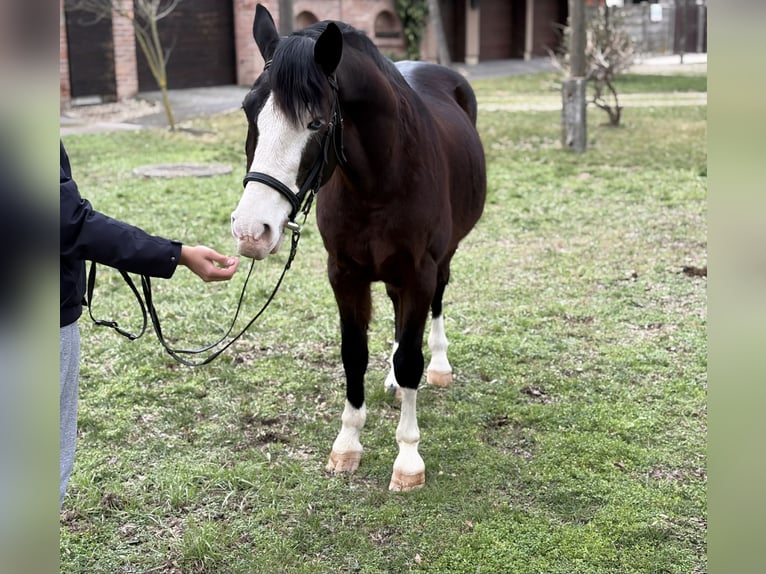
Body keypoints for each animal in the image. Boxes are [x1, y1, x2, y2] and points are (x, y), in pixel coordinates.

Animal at [231, 4, 486, 491]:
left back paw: (439, 367)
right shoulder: (345, 273)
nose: (252, 231)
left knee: (436, 306)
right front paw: (347, 444)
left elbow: (410, 358)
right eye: (249, 110)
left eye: (316, 122)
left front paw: (408, 460)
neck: (379, 182)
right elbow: (354, 354)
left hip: (441, 260)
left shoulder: (418, 272)